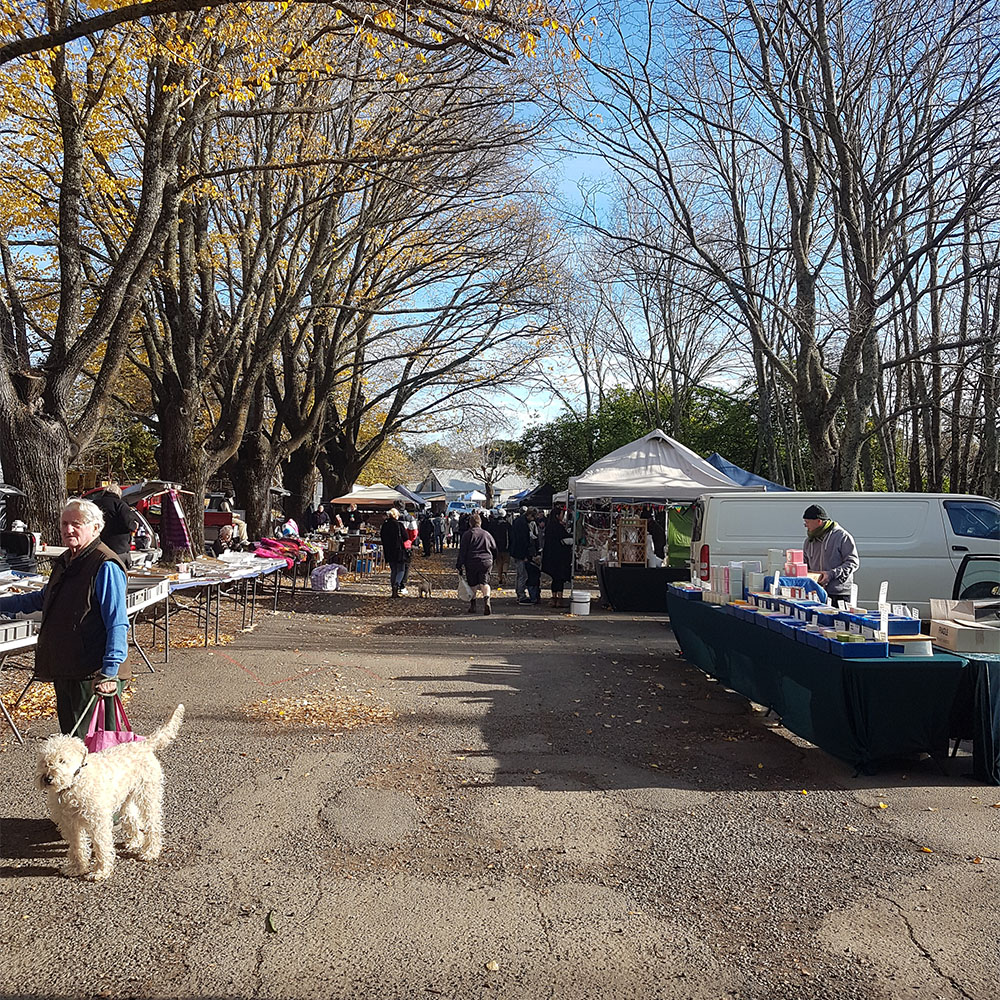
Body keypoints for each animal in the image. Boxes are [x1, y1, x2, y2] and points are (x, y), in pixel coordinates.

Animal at [34, 704, 186, 884]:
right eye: (44, 762)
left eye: (62, 760)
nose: (48, 778)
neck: (74, 784)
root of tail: (143, 745)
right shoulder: (70, 823)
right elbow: (77, 846)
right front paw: (77, 868)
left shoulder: (97, 821)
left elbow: (101, 846)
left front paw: (100, 871)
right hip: (126, 799)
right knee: (132, 818)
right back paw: (134, 841)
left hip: (147, 796)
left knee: (153, 824)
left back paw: (150, 851)